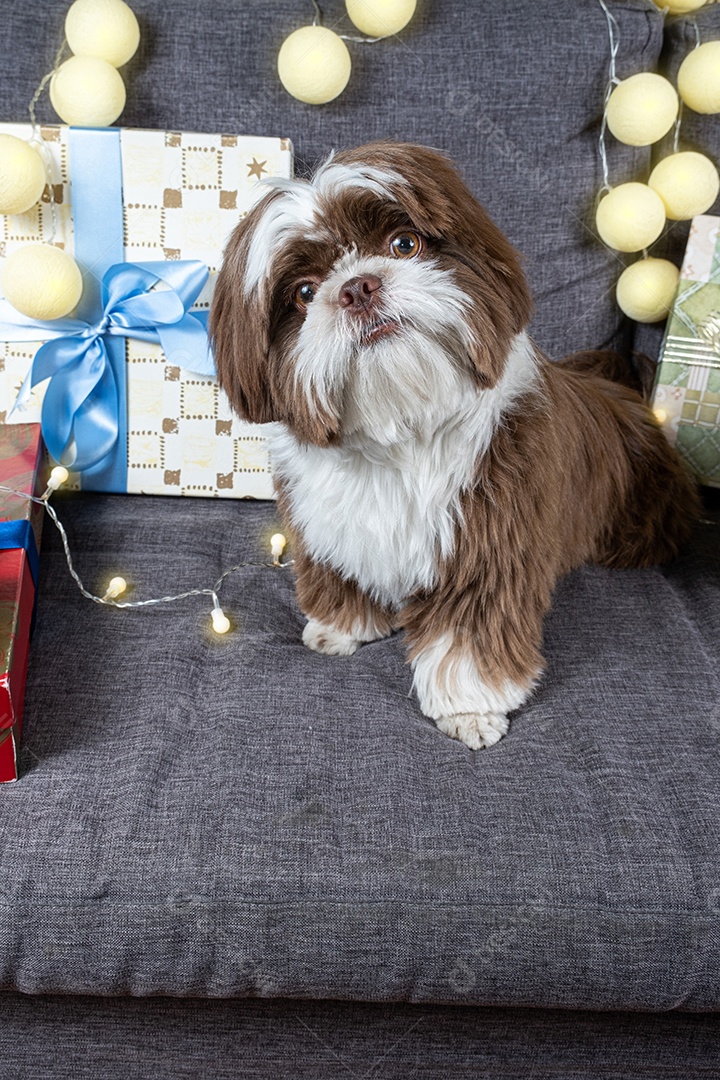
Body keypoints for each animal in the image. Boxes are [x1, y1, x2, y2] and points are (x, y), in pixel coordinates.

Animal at [209, 139, 699, 747]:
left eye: (405, 243)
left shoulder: (486, 548)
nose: (357, 287)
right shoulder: (327, 525)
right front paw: (340, 626)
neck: (401, 433)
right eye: (302, 293)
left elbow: (466, 638)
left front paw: (469, 710)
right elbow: (343, 575)